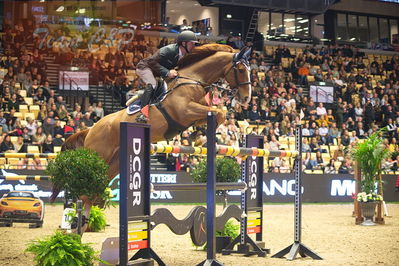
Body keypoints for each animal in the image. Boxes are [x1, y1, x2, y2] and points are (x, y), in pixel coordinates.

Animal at [56, 44, 252, 227]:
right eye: (241, 70)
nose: (246, 99)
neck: (193, 80)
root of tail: (91, 128)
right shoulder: (185, 111)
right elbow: (219, 112)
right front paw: (209, 138)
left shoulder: (197, 113)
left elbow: (217, 111)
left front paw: (203, 135)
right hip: (100, 156)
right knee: (86, 189)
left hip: (114, 163)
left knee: (92, 192)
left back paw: (81, 226)